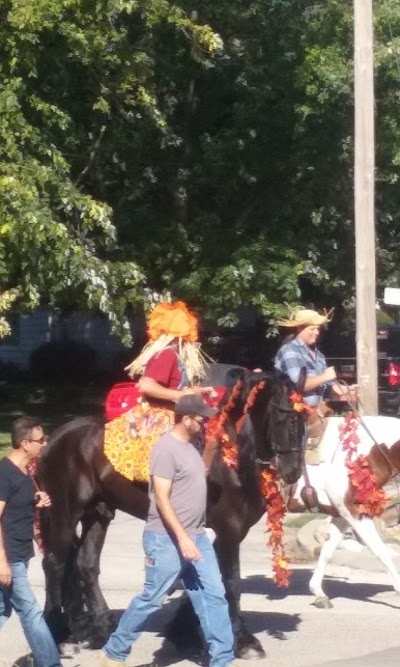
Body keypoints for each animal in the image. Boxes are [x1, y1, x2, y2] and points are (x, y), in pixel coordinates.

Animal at [38, 368, 306, 660]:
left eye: (305, 417)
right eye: (281, 416)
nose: (294, 471)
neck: (232, 456)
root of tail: (54, 439)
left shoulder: (219, 531)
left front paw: (185, 632)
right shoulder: (230, 529)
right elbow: (231, 582)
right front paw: (243, 639)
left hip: (97, 514)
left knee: (86, 564)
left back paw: (102, 628)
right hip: (64, 512)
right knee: (55, 563)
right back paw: (59, 635)